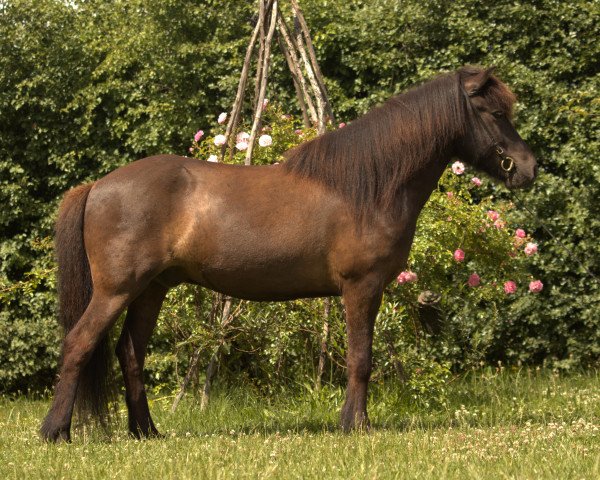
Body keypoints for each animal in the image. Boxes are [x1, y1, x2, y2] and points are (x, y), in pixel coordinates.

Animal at [42, 65, 540, 440]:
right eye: (496, 112)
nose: (530, 168)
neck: (370, 184)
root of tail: (97, 186)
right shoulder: (361, 287)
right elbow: (361, 358)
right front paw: (356, 425)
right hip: (116, 290)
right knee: (79, 344)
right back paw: (55, 431)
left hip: (150, 290)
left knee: (130, 354)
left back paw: (146, 432)